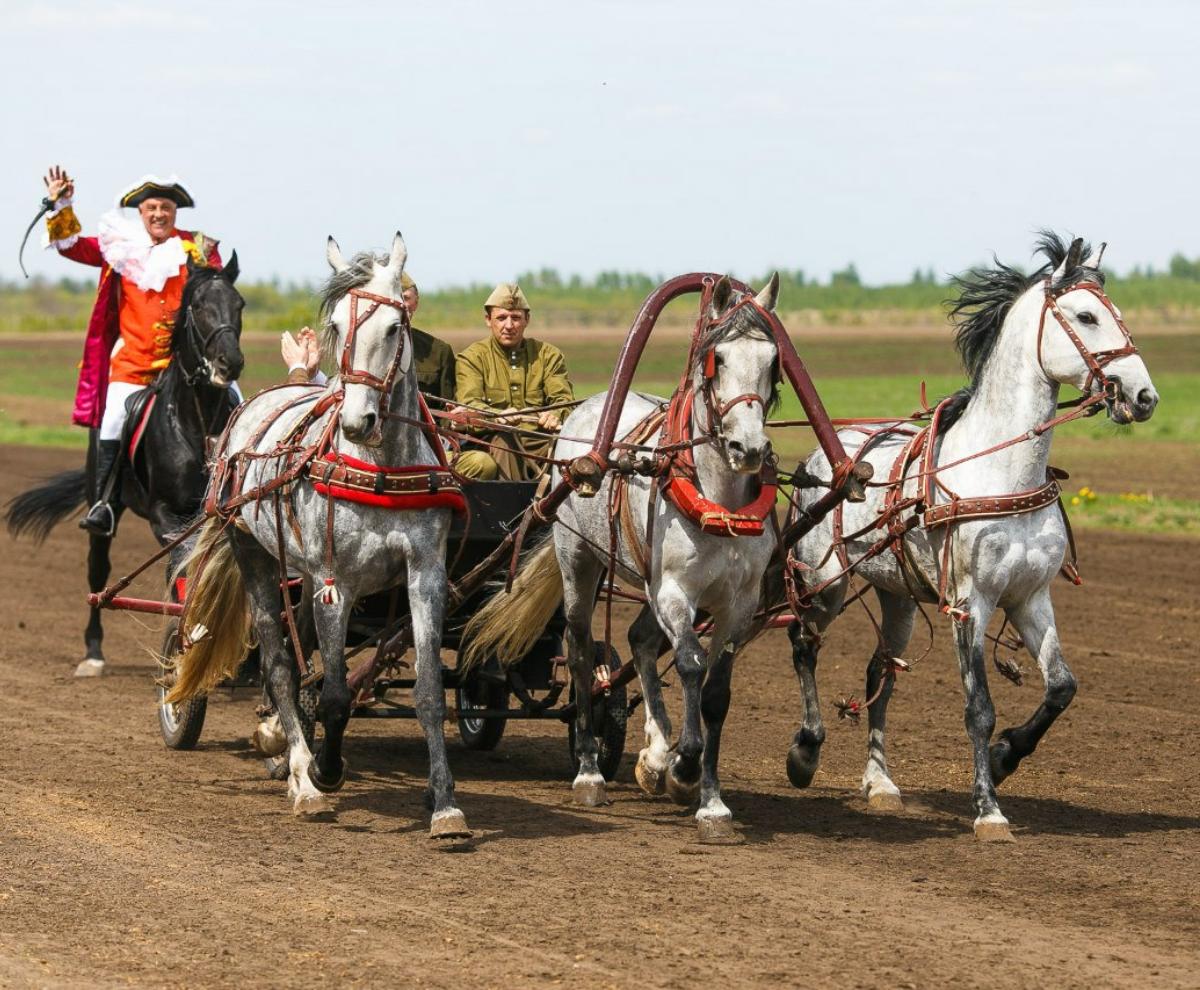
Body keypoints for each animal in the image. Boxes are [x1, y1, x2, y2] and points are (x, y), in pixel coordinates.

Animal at [6, 254, 246, 681]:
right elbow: (182, 566)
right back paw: (93, 653)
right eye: (199, 306)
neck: (199, 426)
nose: (229, 363)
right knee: (98, 571)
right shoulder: (166, 516)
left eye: (240, 305)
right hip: (104, 513)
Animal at [171, 231, 470, 840]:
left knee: (300, 644)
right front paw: (324, 771)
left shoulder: (424, 572)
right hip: (255, 554)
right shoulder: (340, 581)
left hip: (305, 575)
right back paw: (301, 774)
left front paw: (446, 805)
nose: (357, 421)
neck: (378, 468)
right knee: (282, 663)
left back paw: (284, 746)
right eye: (335, 323)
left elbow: (429, 691)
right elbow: (332, 695)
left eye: (394, 326)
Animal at [463, 276, 782, 840]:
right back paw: (591, 771)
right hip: (580, 561)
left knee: (636, 640)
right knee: (580, 648)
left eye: (773, 361)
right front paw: (683, 766)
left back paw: (651, 755)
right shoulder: (675, 589)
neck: (718, 500)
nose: (748, 449)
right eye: (717, 358)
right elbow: (691, 664)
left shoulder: (739, 602)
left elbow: (717, 692)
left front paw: (709, 800)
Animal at [782, 235, 1156, 840]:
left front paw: (1005, 758)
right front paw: (988, 808)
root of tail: (826, 458)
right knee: (804, 647)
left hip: (898, 596)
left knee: (880, 671)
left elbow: (1062, 687)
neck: (1001, 472)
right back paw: (806, 751)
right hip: (825, 584)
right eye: (1086, 316)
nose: (1144, 396)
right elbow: (979, 707)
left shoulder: (1031, 597)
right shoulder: (970, 602)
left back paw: (880, 782)